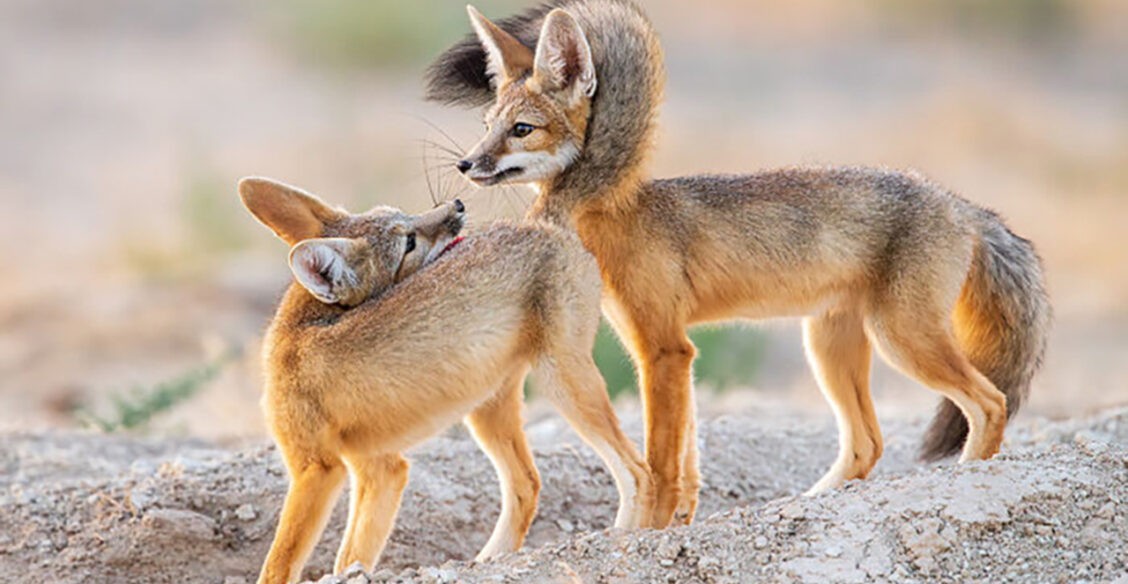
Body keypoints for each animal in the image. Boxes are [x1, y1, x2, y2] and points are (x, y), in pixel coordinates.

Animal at [242, 175, 658, 581]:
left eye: (406, 220)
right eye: (408, 242)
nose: (456, 206)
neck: (299, 327)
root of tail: (539, 222)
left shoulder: (316, 469)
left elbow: (278, 565)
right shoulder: (380, 467)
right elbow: (350, 559)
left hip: (562, 383)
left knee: (639, 472)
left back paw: (625, 542)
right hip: (489, 411)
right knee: (528, 485)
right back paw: (488, 561)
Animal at [426, 0, 1051, 532]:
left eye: (521, 130)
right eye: (487, 124)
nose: (466, 164)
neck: (609, 210)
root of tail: (961, 204)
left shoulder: (663, 348)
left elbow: (660, 464)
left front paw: (645, 533)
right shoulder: (672, 349)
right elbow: (687, 465)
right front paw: (675, 525)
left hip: (903, 340)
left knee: (990, 403)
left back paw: (968, 482)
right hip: (829, 347)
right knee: (867, 443)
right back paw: (808, 504)